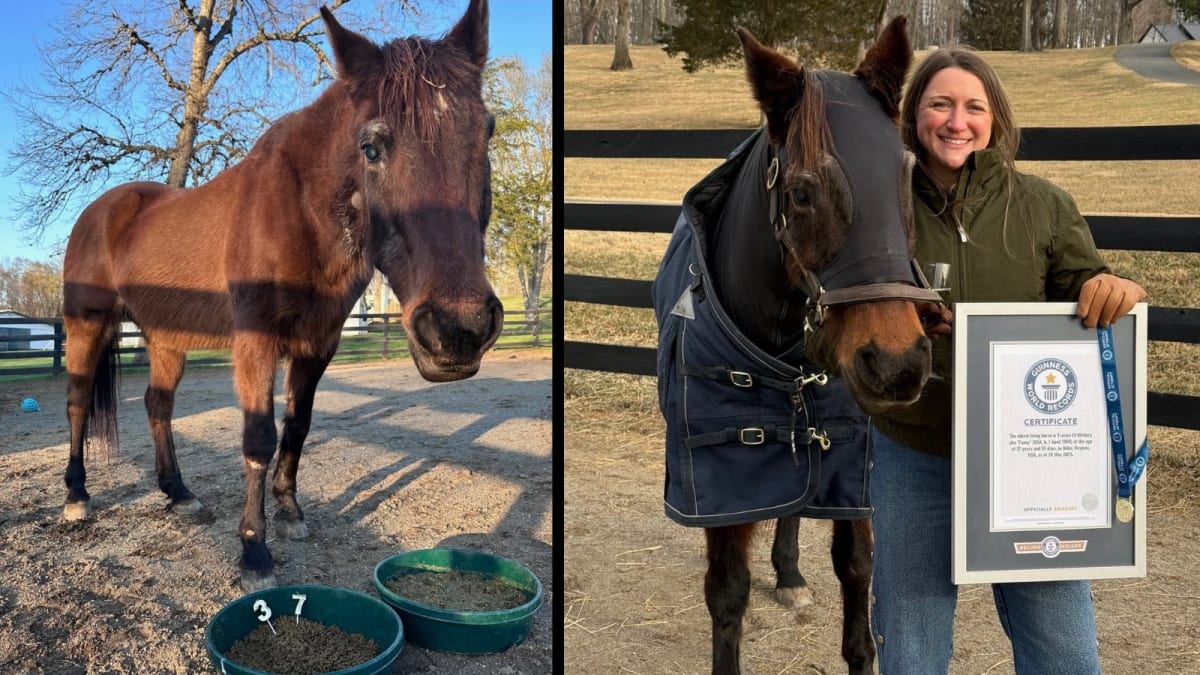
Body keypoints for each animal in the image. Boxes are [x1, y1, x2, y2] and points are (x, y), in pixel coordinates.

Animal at [60, 0, 500, 592]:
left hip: (166, 338)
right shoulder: (256, 343)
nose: (458, 330)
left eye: (486, 134)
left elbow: (297, 427)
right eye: (371, 148)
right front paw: (254, 550)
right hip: (85, 325)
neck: (300, 211)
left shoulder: (318, 345)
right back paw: (77, 496)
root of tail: (101, 210)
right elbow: (259, 438)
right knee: (79, 403)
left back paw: (179, 493)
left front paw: (290, 513)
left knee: (158, 405)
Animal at [652, 17, 939, 675]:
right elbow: (727, 593)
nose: (897, 363)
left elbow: (857, 569)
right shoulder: (720, 480)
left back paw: (788, 575)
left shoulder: (850, 464)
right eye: (803, 193)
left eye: (906, 176)